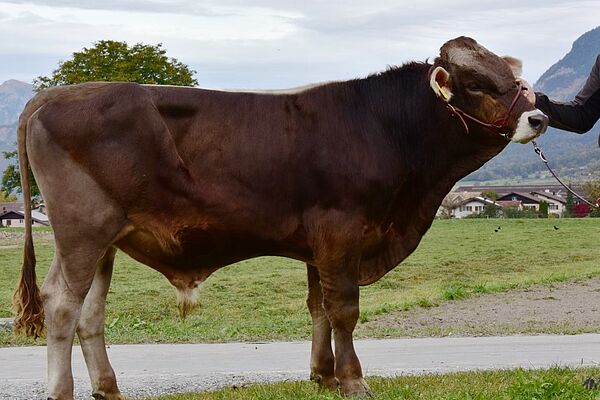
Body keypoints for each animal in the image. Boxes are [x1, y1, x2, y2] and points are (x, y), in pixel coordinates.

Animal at [14, 36, 548, 398]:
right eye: (478, 84)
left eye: (514, 79)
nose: (538, 117)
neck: (384, 126)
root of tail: (53, 95)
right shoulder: (341, 228)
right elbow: (343, 309)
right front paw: (353, 381)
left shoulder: (319, 243)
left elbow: (318, 307)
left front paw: (323, 376)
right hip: (82, 229)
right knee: (61, 302)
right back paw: (62, 391)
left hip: (105, 239)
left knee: (91, 311)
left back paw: (108, 387)